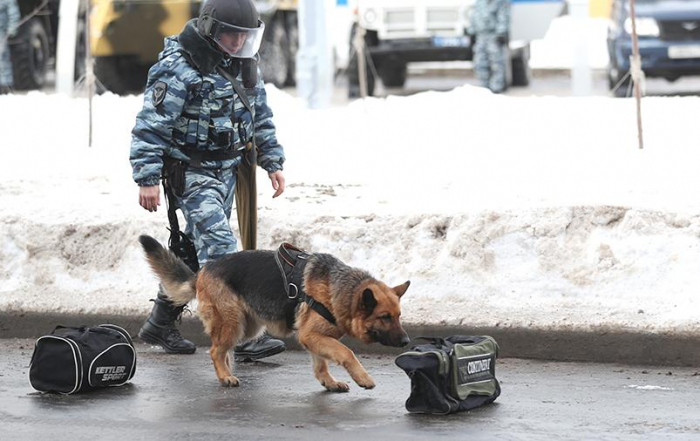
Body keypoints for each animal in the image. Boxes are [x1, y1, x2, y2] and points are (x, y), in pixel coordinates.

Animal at [138, 235, 410, 390]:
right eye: (384, 317)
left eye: (398, 316)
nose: (407, 341)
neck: (342, 290)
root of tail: (203, 270)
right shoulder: (312, 336)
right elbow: (347, 352)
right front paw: (363, 378)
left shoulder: (314, 338)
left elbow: (321, 363)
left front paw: (329, 382)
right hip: (233, 322)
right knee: (215, 351)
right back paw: (225, 377)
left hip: (248, 326)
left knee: (223, 351)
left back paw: (227, 372)